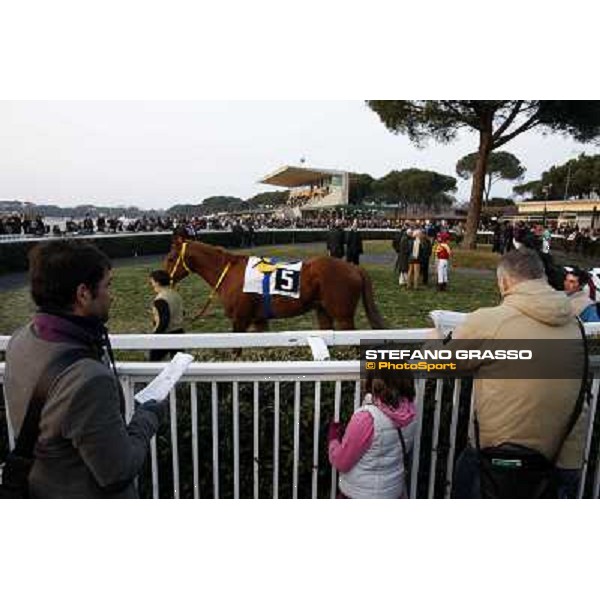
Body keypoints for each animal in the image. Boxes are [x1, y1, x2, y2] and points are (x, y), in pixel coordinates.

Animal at [163, 236, 390, 332]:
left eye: (171, 258)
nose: (163, 277)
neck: (228, 272)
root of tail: (354, 268)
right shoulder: (259, 320)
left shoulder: (240, 319)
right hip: (323, 311)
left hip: (343, 316)